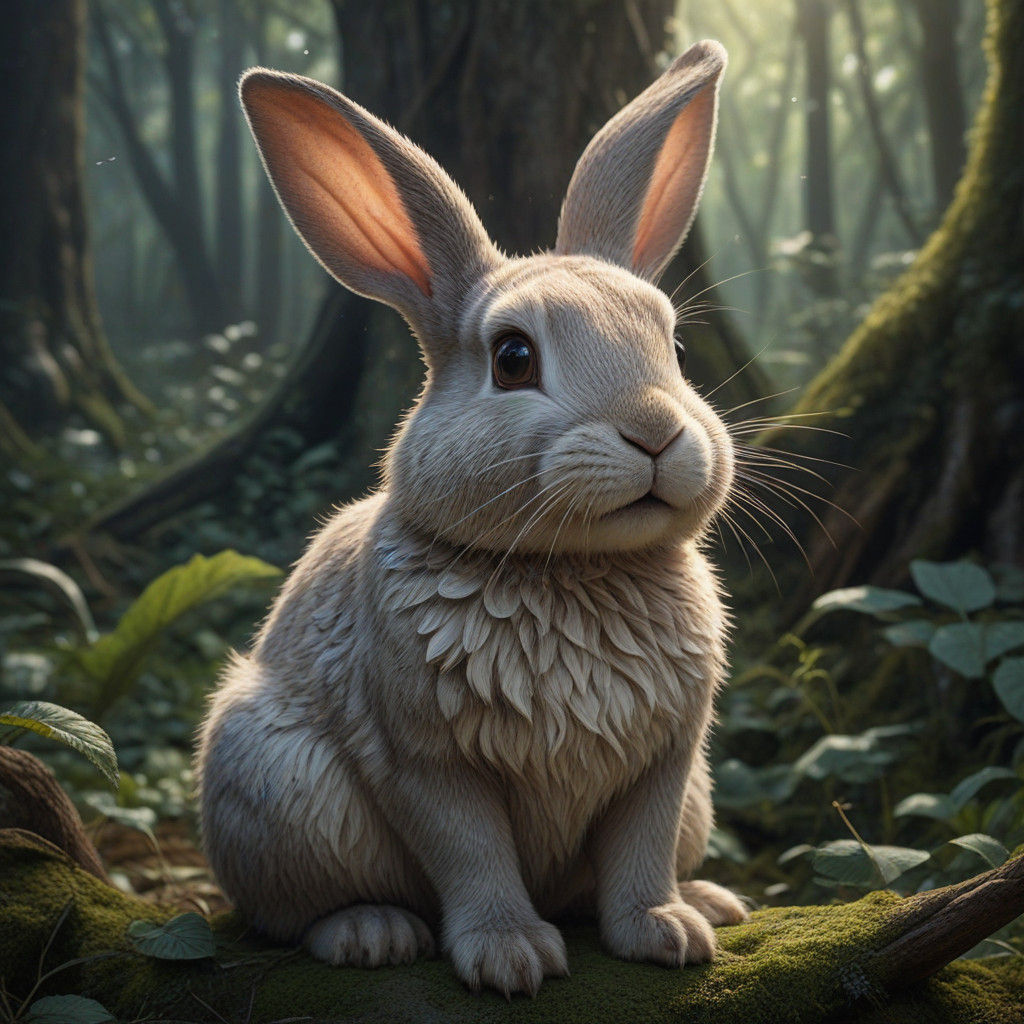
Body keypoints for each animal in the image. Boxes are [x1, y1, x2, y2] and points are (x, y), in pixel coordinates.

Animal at [196, 38, 748, 998]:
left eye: (674, 347)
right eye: (513, 357)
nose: (656, 431)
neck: (570, 572)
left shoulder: (666, 762)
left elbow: (637, 856)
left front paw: (665, 932)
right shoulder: (425, 759)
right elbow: (471, 854)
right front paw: (510, 958)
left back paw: (709, 902)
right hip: (275, 785)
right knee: (288, 914)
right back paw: (370, 933)